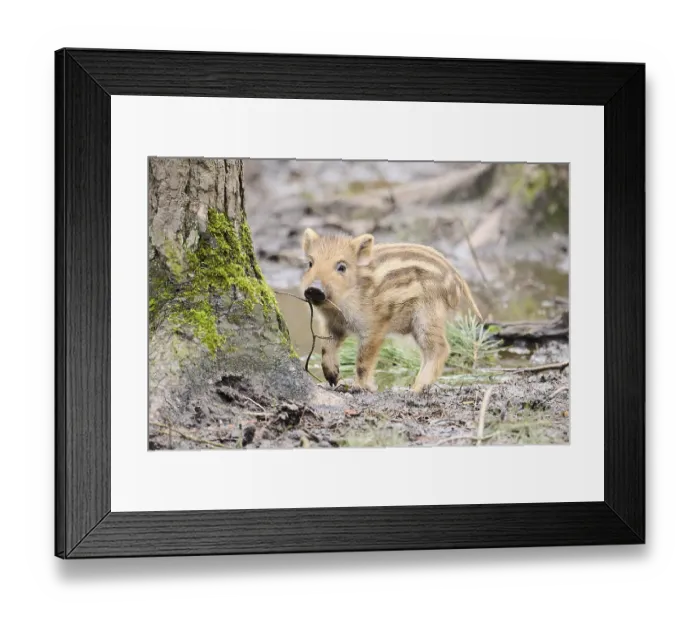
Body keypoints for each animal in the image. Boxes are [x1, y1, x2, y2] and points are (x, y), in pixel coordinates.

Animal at [300, 228, 483, 393]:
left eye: (341, 267)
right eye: (310, 264)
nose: (314, 289)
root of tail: (457, 278)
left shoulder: (375, 326)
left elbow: (363, 359)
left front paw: (358, 387)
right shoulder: (333, 326)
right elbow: (326, 347)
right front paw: (332, 379)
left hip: (428, 314)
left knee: (440, 349)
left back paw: (415, 389)